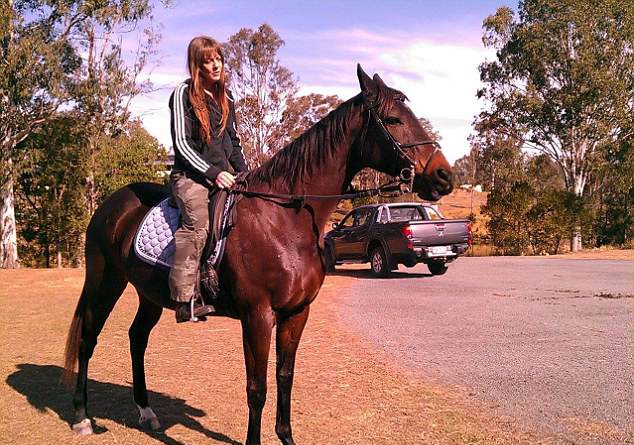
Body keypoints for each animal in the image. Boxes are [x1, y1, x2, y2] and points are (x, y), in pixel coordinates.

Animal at [61, 66, 452, 444]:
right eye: (394, 119)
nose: (443, 176)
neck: (283, 218)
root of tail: (112, 204)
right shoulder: (257, 315)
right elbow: (257, 388)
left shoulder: (296, 313)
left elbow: (285, 377)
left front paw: (286, 436)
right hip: (105, 282)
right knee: (87, 339)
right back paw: (82, 417)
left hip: (149, 294)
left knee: (137, 338)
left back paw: (145, 411)